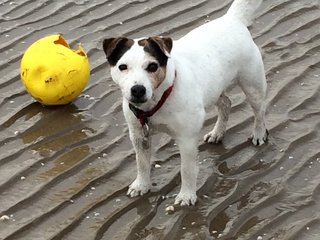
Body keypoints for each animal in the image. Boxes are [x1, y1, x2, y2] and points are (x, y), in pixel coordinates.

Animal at [102, 0, 268, 206]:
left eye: (152, 66)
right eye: (122, 67)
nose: (138, 90)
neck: (158, 101)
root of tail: (232, 19)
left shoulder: (187, 139)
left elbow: (187, 170)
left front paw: (187, 195)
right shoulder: (138, 135)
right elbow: (141, 164)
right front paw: (141, 185)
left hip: (252, 85)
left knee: (259, 111)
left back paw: (259, 134)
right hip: (214, 88)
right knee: (226, 104)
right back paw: (217, 133)